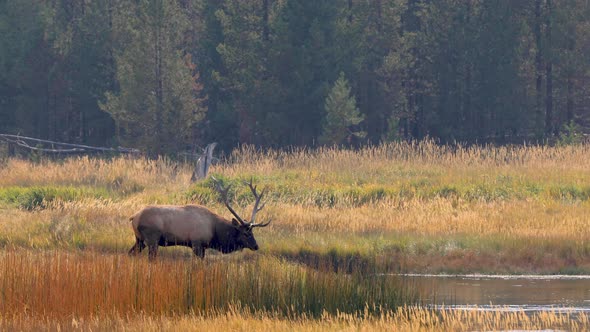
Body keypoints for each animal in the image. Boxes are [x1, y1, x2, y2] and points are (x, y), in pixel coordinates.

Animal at [128, 178, 272, 260]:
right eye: (246, 233)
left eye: (252, 232)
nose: (256, 246)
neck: (215, 231)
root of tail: (134, 217)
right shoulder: (197, 243)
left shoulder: (202, 247)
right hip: (152, 240)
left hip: (139, 240)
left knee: (130, 253)